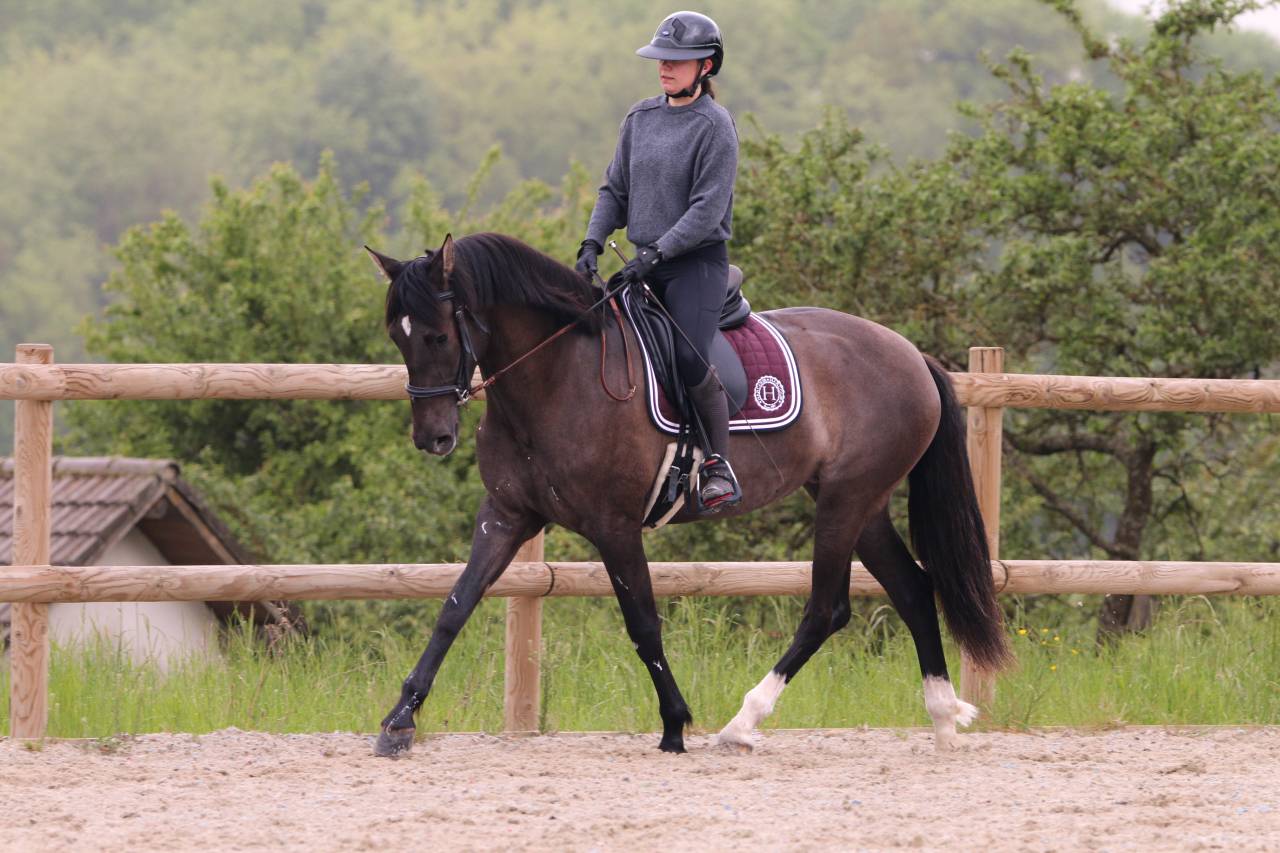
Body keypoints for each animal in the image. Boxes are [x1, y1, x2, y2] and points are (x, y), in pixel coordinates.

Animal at [366, 231, 1011, 757]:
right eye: (397, 337)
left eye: (437, 335)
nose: (433, 437)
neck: (556, 376)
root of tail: (911, 355)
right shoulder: (507, 514)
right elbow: (455, 606)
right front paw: (399, 721)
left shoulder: (613, 525)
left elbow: (643, 624)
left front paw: (675, 724)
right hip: (860, 504)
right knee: (913, 588)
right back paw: (942, 718)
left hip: (844, 502)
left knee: (826, 609)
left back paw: (742, 723)